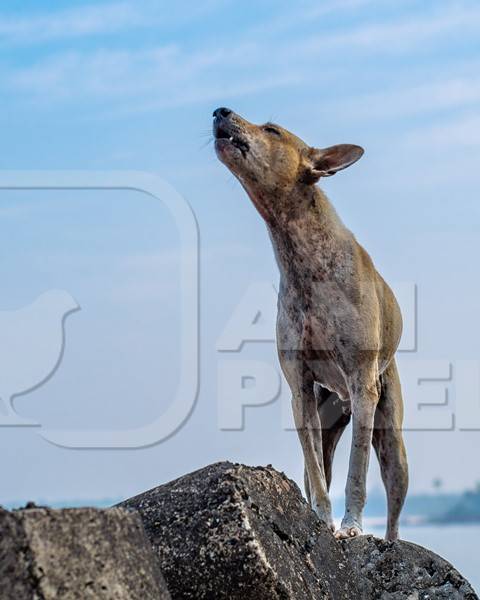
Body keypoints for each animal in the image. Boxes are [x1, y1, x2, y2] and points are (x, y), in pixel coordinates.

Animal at [214, 105, 408, 540]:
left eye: (272, 130)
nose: (220, 111)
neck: (304, 261)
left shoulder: (362, 383)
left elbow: (357, 472)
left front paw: (351, 526)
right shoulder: (300, 391)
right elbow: (317, 474)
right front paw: (321, 520)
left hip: (391, 435)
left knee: (394, 500)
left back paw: (389, 541)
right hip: (327, 417)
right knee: (317, 464)